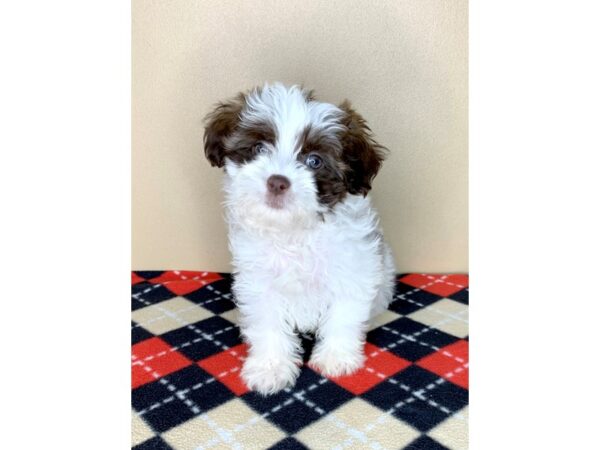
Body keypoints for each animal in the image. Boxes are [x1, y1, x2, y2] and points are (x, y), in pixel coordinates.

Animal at [204, 83, 396, 394]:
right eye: (259, 148)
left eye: (314, 161)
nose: (277, 181)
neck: (294, 231)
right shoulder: (259, 282)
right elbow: (267, 322)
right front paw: (270, 366)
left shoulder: (353, 270)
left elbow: (344, 315)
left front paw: (336, 357)